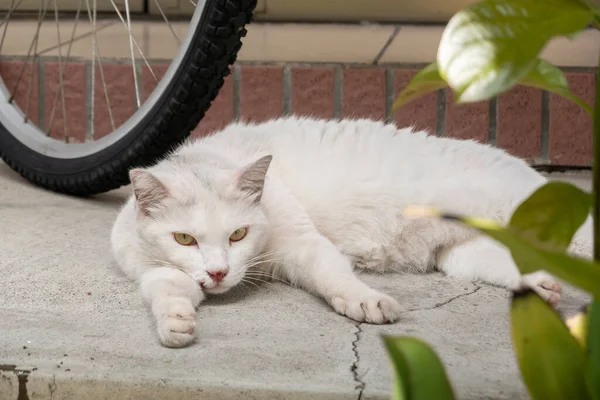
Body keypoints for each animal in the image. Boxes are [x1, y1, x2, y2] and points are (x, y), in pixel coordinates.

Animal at [110, 115, 592, 346]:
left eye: (238, 235)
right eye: (185, 239)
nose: (217, 273)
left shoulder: (304, 244)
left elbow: (334, 277)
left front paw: (365, 302)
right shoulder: (157, 270)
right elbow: (165, 292)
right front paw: (176, 323)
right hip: (461, 255)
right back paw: (540, 287)